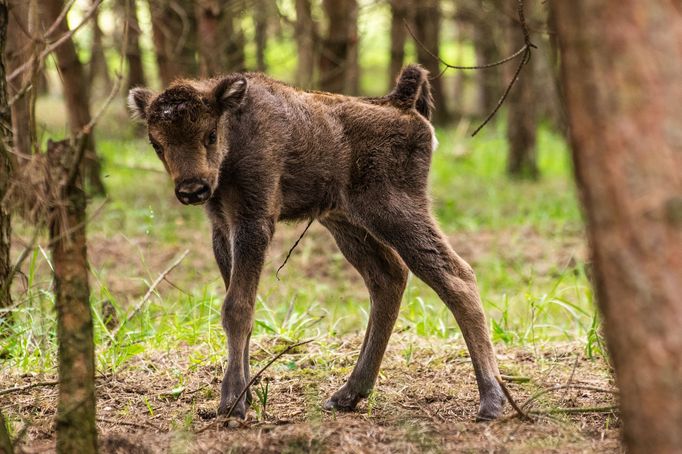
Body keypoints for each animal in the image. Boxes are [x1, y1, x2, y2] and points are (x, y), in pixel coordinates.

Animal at [127, 65, 504, 420]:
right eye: (157, 144)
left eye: (210, 134)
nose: (192, 189)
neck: (235, 131)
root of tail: (400, 103)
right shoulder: (222, 228)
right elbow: (239, 303)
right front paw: (246, 396)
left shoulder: (254, 221)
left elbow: (237, 308)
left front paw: (232, 403)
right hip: (345, 222)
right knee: (389, 277)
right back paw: (347, 395)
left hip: (394, 211)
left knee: (456, 276)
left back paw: (491, 400)